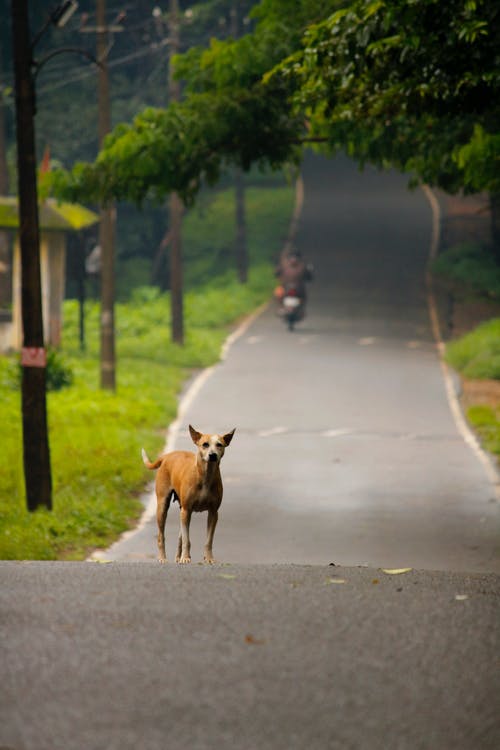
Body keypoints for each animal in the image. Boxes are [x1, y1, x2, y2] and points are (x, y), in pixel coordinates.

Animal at [141, 428, 234, 564]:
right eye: (205, 444)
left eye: (219, 445)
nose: (212, 455)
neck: (205, 476)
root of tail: (167, 456)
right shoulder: (187, 510)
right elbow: (187, 540)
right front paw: (185, 557)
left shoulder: (213, 513)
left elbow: (208, 540)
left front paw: (209, 558)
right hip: (163, 507)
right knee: (161, 536)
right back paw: (163, 557)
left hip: (182, 511)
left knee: (180, 536)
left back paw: (178, 557)